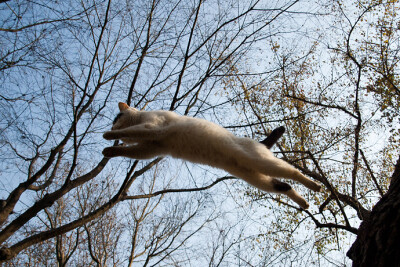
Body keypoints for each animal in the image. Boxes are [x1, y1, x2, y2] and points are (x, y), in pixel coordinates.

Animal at [102, 102, 322, 209]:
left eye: (116, 118)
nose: (111, 126)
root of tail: (259, 143)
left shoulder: (151, 129)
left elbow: (129, 132)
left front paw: (108, 136)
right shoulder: (151, 148)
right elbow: (128, 151)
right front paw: (109, 151)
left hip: (262, 163)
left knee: (293, 173)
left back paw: (316, 186)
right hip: (256, 178)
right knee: (284, 186)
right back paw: (305, 203)